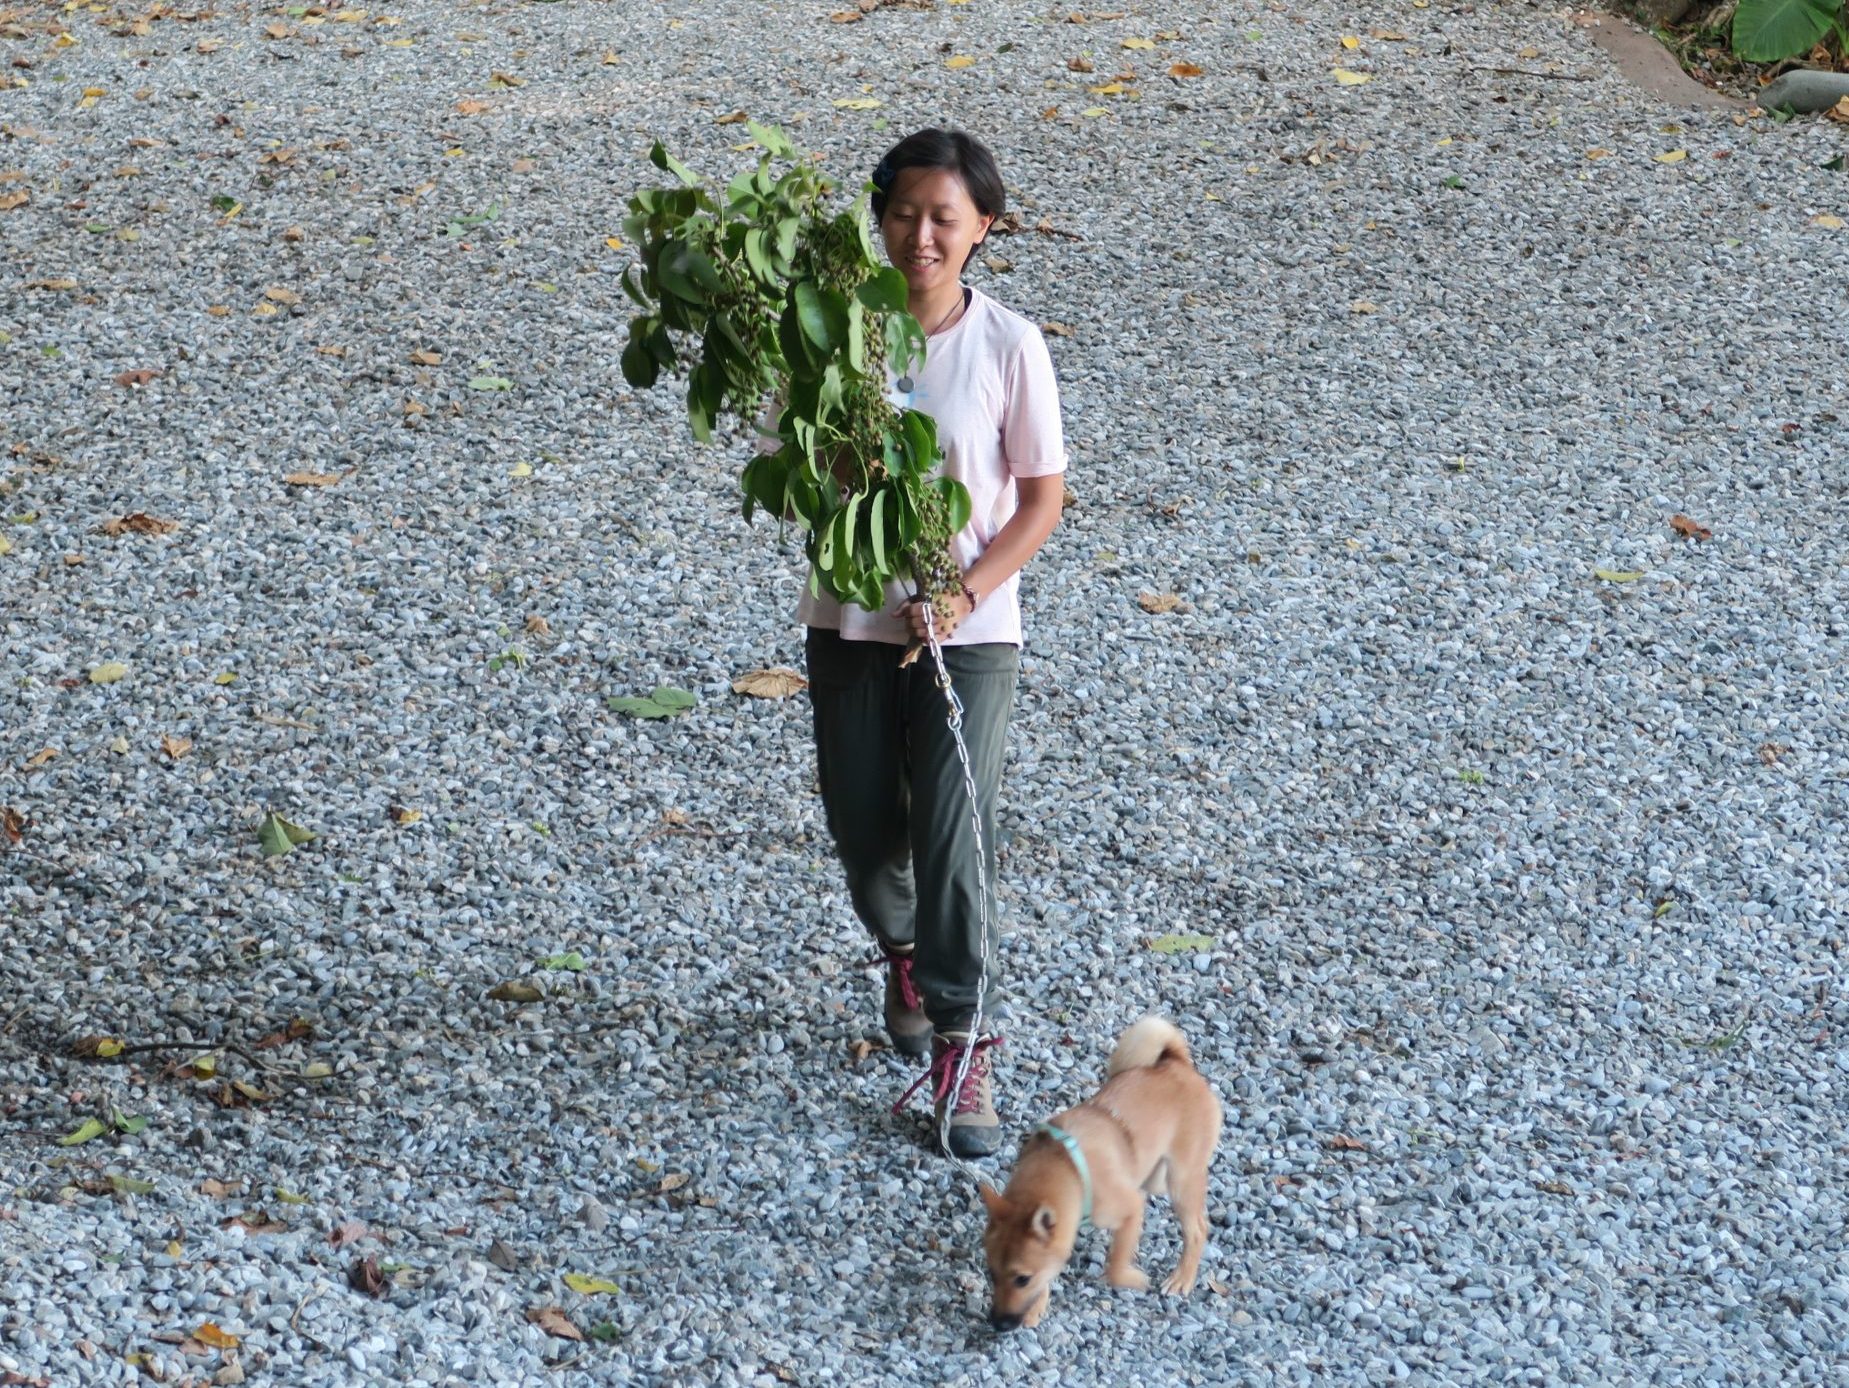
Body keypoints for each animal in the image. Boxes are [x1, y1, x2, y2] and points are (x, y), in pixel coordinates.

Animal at [976, 1012, 1220, 1330]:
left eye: (1022, 1279)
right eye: (991, 1272)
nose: (998, 1323)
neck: (1069, 1169)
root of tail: (1177, 1063)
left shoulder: (1129, 1207)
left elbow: (1115, 1267)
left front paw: (1132, 1278)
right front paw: (1037, 1306)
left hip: (1181, 1180)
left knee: (1197, 1230)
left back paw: (1182, 1278)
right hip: (1156, 1176)